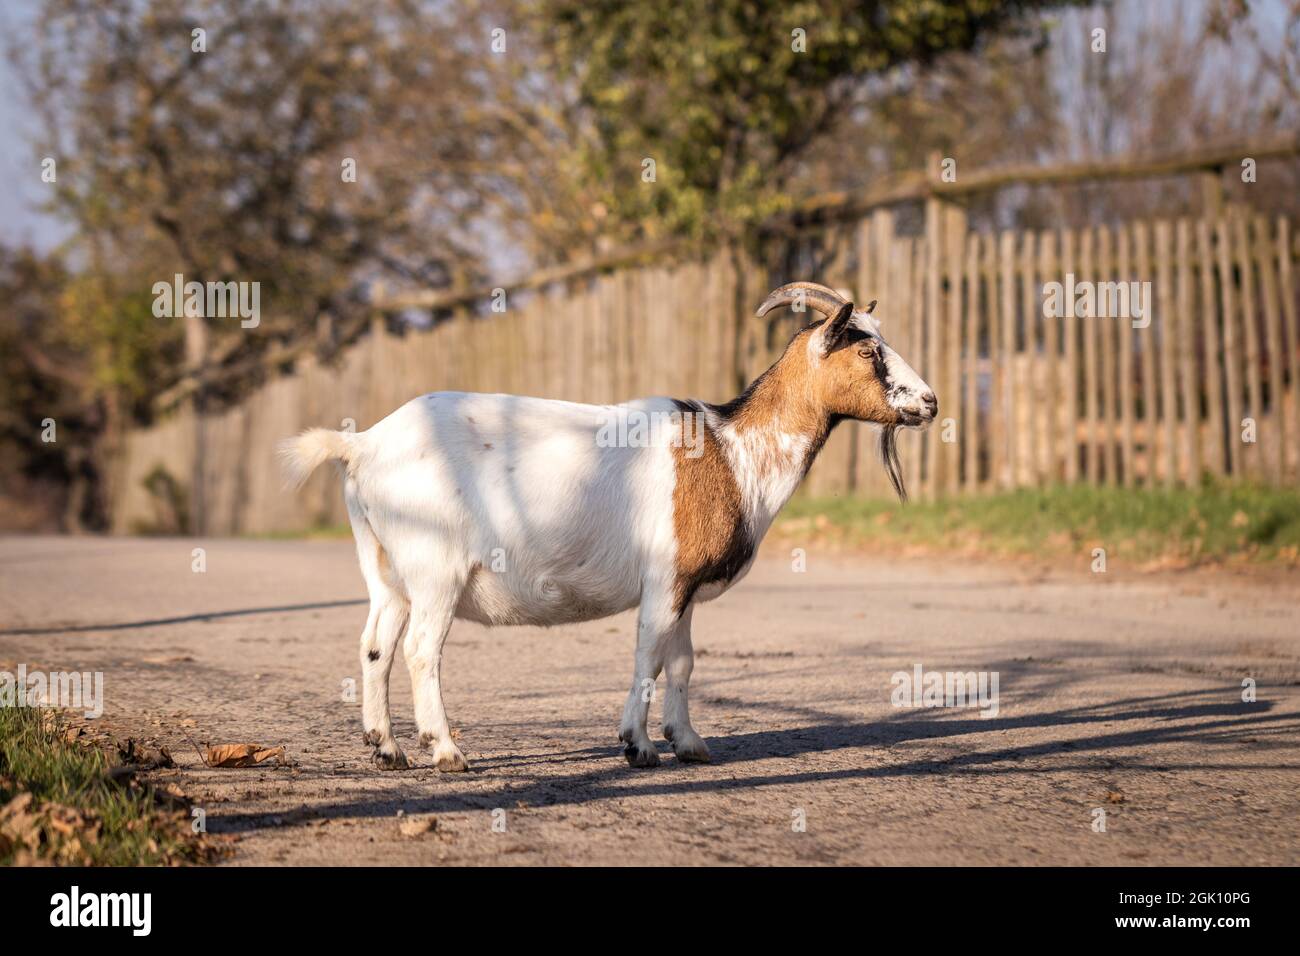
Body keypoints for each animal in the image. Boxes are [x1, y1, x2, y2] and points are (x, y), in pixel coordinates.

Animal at [280, 281, 936, 771]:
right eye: (868, 351)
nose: (929, 403)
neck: (731, 451)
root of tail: (363, 444)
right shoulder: (665, 579)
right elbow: (648, 654)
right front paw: (637, 745)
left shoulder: (685, 585)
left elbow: (682, 660)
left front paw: (689, 742)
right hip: (434, 564)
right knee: (420, 649)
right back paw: (445, 751)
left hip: (384, 565)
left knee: (376, 644)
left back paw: (385, 748)